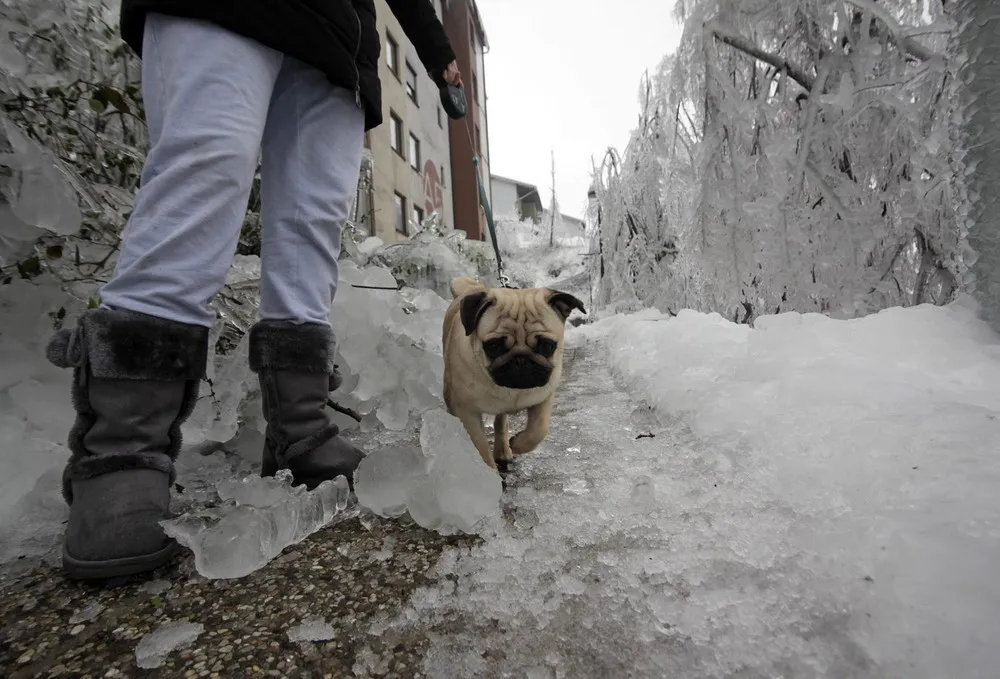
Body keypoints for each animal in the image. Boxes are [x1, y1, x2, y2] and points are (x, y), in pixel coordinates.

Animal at [444, 276, 584, 472]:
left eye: (547, 345)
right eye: (494, 346)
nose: (521, 360)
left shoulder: (544, 397)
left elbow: (539, 429)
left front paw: (518, 444)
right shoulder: (466, 411)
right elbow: (480, 447)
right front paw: (488, 473)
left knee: (501, 422)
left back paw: (504, 450)